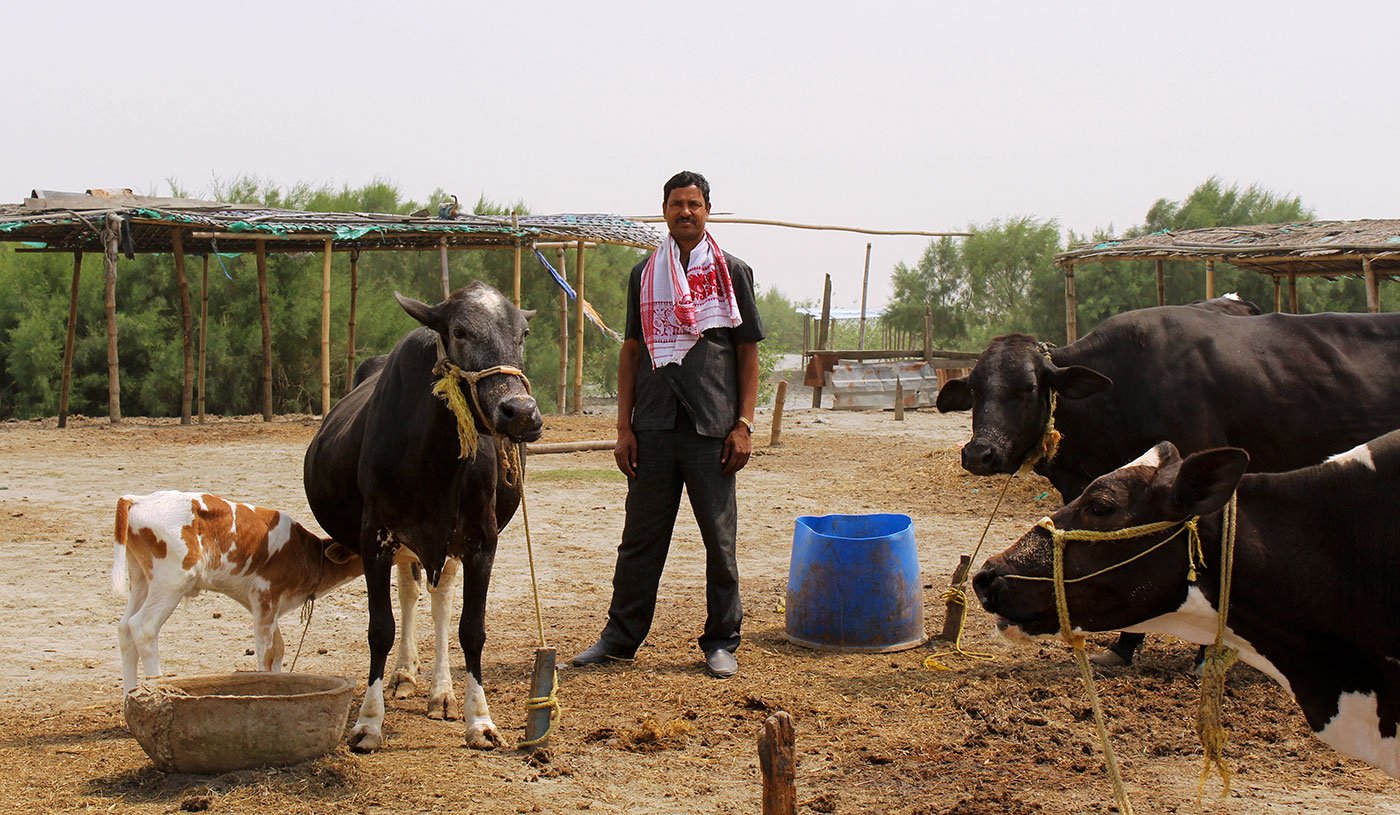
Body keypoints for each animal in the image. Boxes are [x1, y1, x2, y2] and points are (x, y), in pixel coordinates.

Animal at [112, 492, 361, 697]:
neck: (306, 554)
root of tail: (139, 499)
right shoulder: (265, 594)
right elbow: (266, 651)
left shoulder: (269, 606)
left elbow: (279, 647)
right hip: (171, 582)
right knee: (143, 626)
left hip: (141, 579)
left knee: (125, 628)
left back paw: (129, 698)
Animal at [305, 284, 540, 756]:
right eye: (459, 331)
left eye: (522, 334)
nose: (521, 412)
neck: (434, 462)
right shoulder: (375, 538)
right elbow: (381, 628)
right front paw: (368, 722)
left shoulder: (481, 541)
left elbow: (472, 629)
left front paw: (479, 719)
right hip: (404, 545)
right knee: (411, 594)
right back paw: (404, 674)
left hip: (444, 550)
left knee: (439, 602)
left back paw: (440, 692)